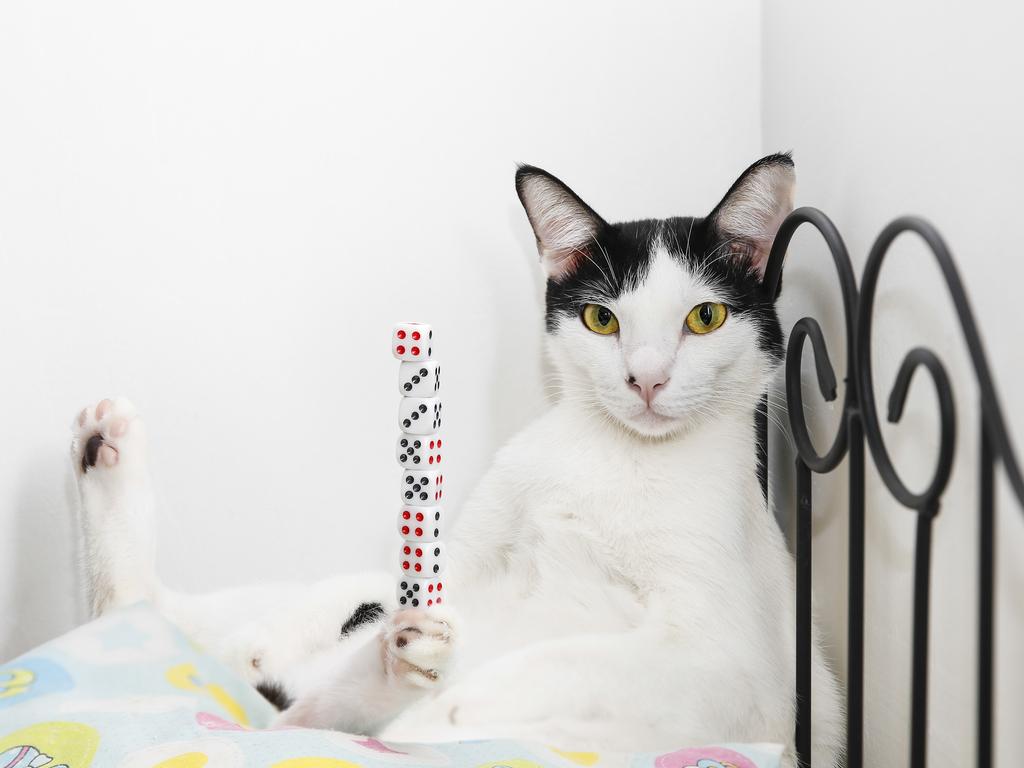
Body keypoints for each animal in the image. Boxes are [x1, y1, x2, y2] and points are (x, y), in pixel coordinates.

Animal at [70, 153, 839, 765]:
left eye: (704, 318)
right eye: (603, 319)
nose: (645, 379)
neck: (617, 456)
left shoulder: (732, 671)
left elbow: (572, 661)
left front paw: (448, 708)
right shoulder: (460, 558)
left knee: (270, 693)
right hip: (327, 597)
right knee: (150, 612)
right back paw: (105, 454)